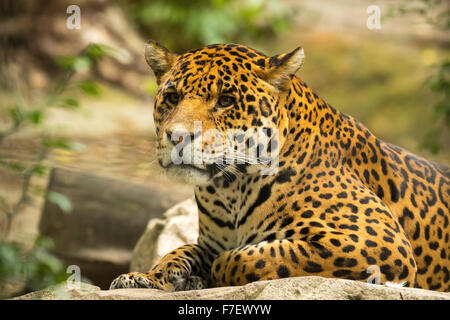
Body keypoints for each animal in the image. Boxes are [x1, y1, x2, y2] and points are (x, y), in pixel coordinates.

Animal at [110, 40, 450, 292]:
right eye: (171, 97)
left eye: (225, 101)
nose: (178, 136)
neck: (229, 189)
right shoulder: (211, 241)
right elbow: (182, 249)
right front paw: (147, 277)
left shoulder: (377, 242)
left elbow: (248, 258)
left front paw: (202, 279)